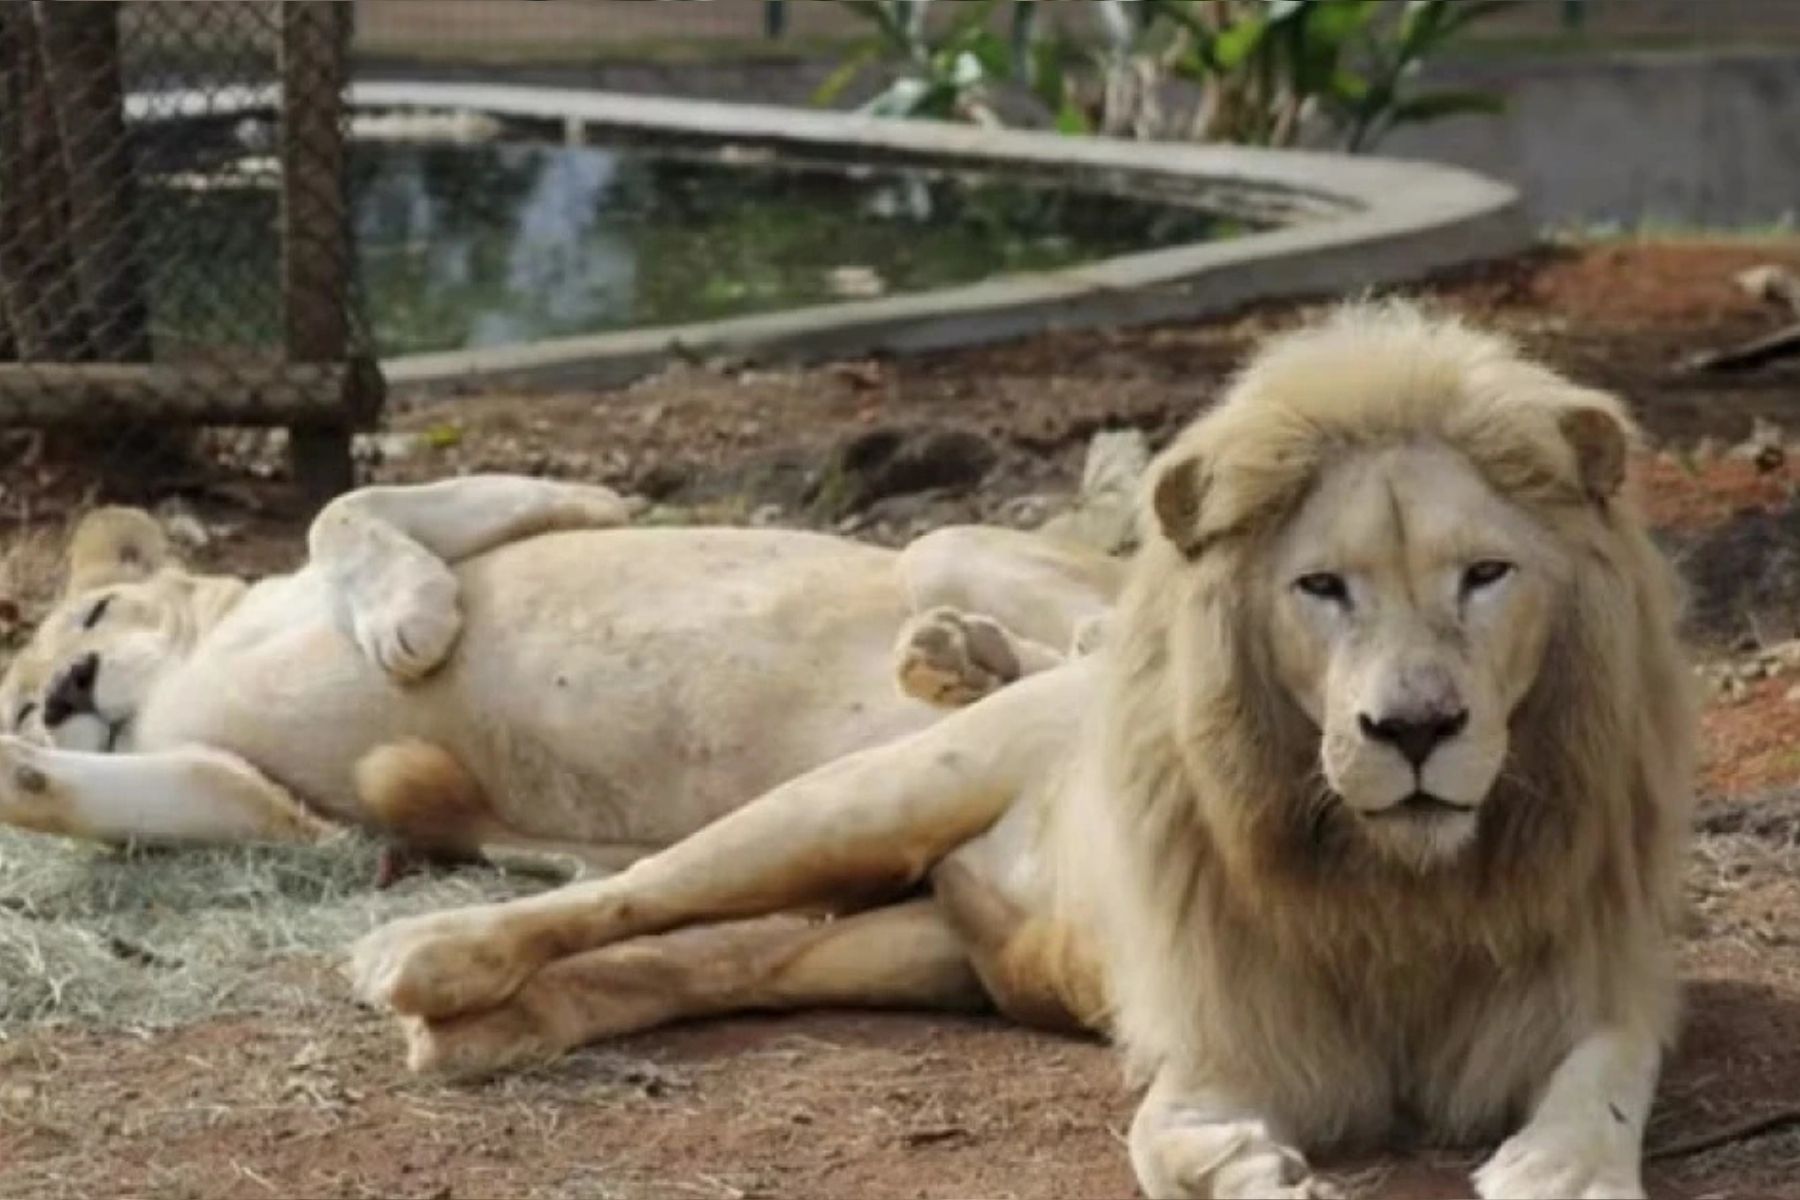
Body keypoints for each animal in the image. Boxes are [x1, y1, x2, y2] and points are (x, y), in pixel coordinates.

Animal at [0, 478, 1120, 861]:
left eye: (95, 612)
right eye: (14, 704)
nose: (65, 690)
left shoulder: (527, 514)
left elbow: (344, 506)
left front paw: (409, 620)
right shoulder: (255, 796)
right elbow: (112, 796)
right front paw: (21, 775)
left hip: (940, 542)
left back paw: (1004, 650)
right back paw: (962, 667)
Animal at [347, 304, 1694, 1200]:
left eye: (1486, 576)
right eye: (1322, 588)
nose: (1415, 730)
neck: (1401, 880)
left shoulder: (1599, 976)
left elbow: (1606, 1075)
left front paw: (1561, 1167)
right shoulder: (1224, 1025)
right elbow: (1163, 1138)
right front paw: (1247, 1166)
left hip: (906, 947)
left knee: (701, 963)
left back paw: (478, 1030)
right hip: (856, 806)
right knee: (630, 895)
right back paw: (421, 959)